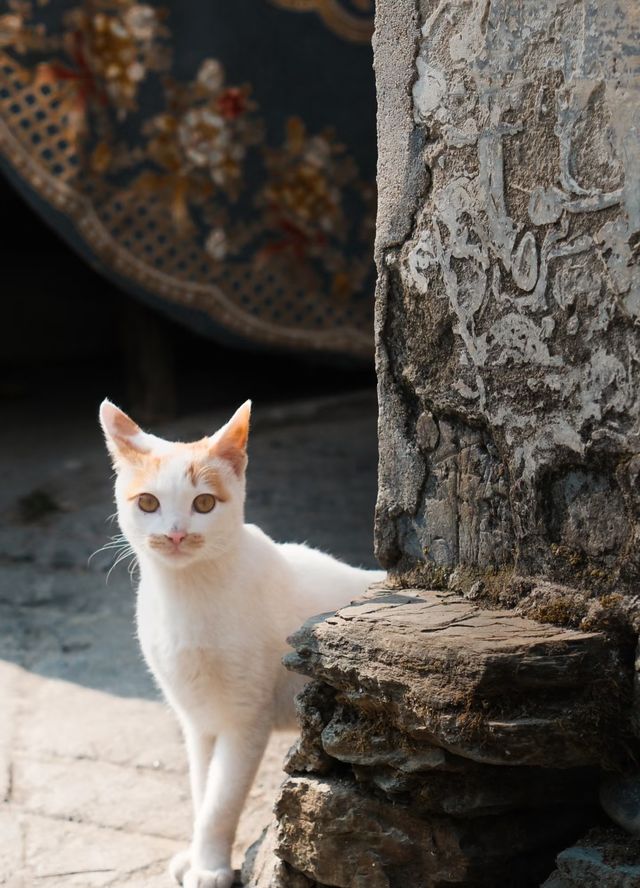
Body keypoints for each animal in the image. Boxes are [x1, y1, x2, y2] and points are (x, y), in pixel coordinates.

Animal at [97, 400, 382, 888]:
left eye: (204, 503)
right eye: (148, 503)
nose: (176, 533)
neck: (187, 594)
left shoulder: (245, 718)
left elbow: (220, 801)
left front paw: (209, 866)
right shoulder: (198, 719)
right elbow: (201, 789)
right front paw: (197, 855)